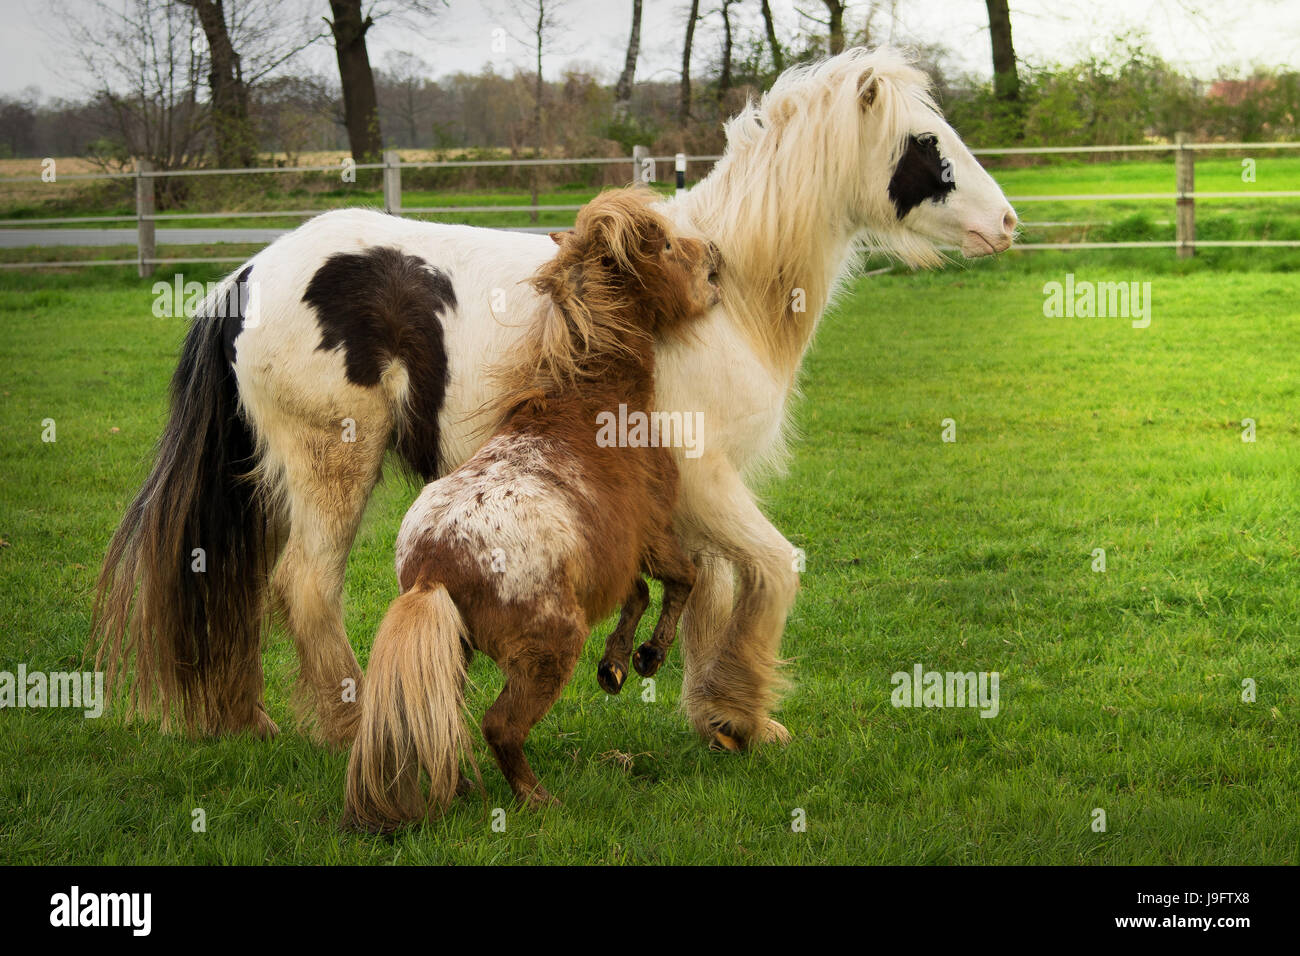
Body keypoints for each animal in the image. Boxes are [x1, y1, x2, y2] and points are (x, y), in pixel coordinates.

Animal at [98, 48, 1013, 749]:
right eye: (925, 143)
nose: (1005, 223)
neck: (723, 290)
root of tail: (252, 273)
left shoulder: (693, 502)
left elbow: (715, 593)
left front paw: (718, 714)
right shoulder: (707, 484)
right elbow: (772, 573)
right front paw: (745, 719)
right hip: (334, 464)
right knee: (307, 588)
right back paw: (355, 727)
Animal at [340, 187, 717, 832]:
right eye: (667, 245)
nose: (715, 262)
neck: (592, 398)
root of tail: (434, 567)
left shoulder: (612, 553)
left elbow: (638, 593)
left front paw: (615, 666)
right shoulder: (653, 531)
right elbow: (682, 579)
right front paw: (647, 657)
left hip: (458, 651)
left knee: (446, 715)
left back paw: (463, 786)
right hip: (548, 652)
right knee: (500, 727)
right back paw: (537, 799)